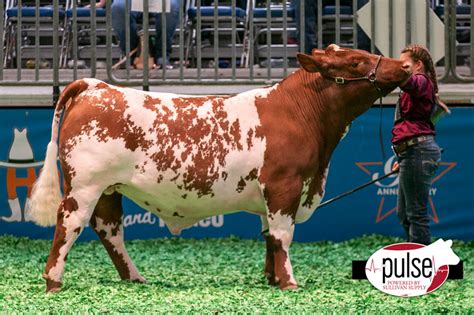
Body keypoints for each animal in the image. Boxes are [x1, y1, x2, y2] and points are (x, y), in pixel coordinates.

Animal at [27, 45, 412, 294]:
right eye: (356, 61)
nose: (406, 67)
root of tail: (95, 86)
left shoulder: (272, 193)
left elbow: (269, 235)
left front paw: (271, 279)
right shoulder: (285, 185)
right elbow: (283, 235)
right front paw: (289, 283)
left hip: (110, 189)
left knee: (109, 230)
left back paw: (134, 278)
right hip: (85, 186)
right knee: (70, 224)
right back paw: (53, 281)